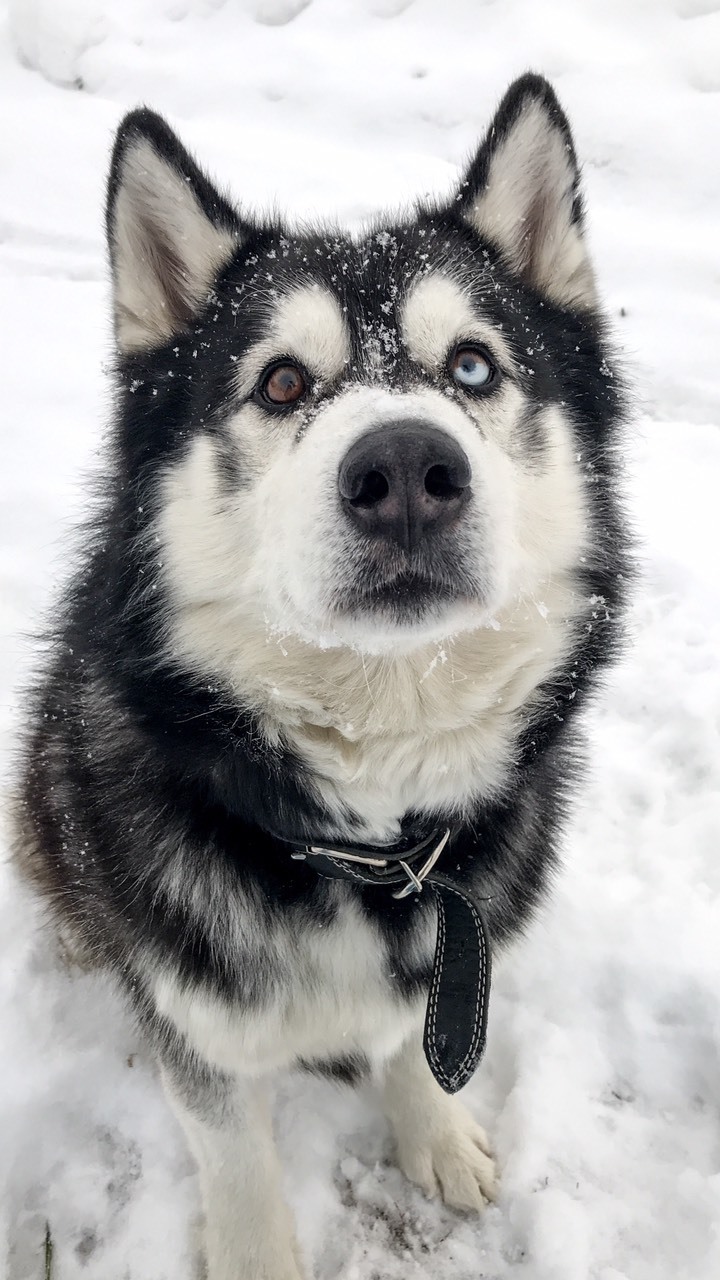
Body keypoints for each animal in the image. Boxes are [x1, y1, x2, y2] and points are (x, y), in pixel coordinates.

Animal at [14, 77, 625, 1280]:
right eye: (283, 381)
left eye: (473, 366)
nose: (407, 469)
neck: (372, 842)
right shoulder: (199, 1030)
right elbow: (238, 1162)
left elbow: (415, 1044)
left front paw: (435, 1136)